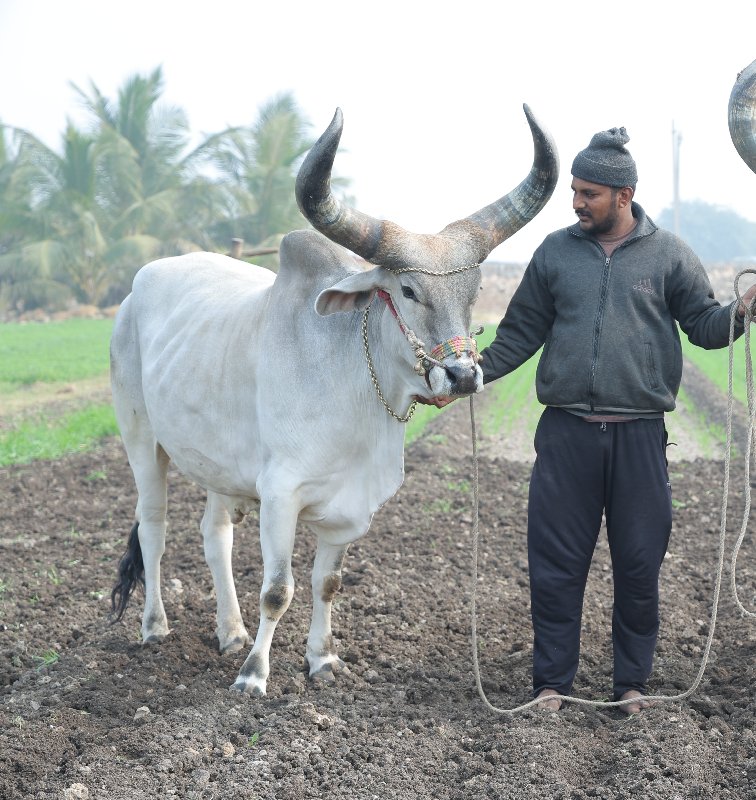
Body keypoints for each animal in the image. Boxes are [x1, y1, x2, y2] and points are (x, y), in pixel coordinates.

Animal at [109, 104, 560, 692]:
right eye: (407, 290)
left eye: (474, 291)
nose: (462, 376)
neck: (355, 400)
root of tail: (135, 290)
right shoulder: (279, 496)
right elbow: (277, 591)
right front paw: (254, 676)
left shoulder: (350, 510)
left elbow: (328, 584)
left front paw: (321, 659)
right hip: (141, 439)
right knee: (154, 530)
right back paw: (155, 626)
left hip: (217, 466)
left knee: (214, 535)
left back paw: (230, 631)